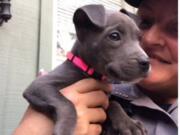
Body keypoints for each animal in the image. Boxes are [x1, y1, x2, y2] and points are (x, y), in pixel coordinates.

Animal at [23, 4, 148, 135]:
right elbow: (66, 103)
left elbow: (113, 103)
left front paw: (129, 123)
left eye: (139, 39)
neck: (89, 72)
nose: (146, 62)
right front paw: (66, 128)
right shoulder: (40, 85)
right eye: (114, 36)